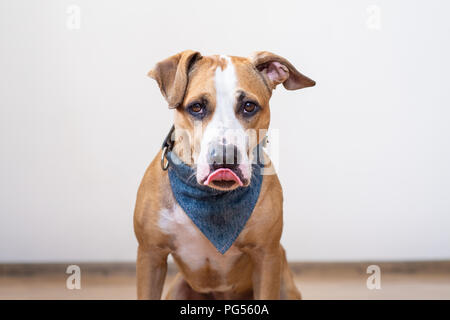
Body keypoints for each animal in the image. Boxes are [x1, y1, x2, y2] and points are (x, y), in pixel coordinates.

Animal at [135, 50, 314, 300]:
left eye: (249, 106)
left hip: (285, 285)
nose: (224, 157)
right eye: (196, 107)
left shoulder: (267, 258)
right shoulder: (150, 256)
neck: (209, 201)